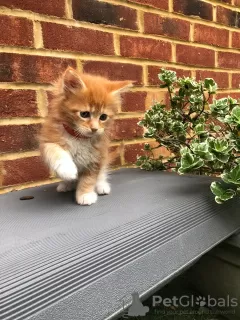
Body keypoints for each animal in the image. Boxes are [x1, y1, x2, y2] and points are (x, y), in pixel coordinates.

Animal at [39, 68, 133, 206]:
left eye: (103, 117)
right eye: (84, 114)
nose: (94, 129)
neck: (79, 137)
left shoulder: (96, 156)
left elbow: (89, 178)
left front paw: (85, 194)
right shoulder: (48, 140)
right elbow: (55, 151)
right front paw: (67, 169)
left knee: (102, 173)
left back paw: (101, 185)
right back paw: (66, 183)